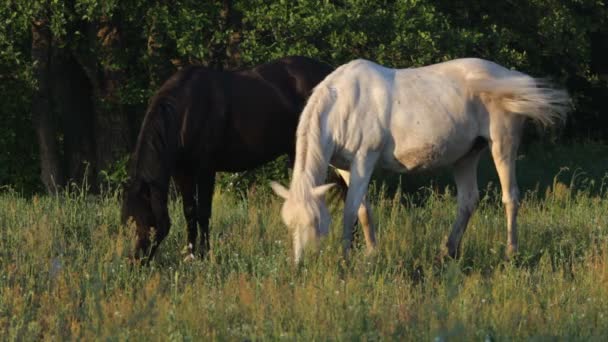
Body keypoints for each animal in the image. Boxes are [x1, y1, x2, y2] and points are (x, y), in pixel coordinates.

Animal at [120, 56, 376, 262]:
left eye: (146, 220)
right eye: (127, 220)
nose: (134, 261)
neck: (187, 110)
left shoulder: (206, 168)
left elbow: (203, 212)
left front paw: (205, 255)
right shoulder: (182, 170)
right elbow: (189, 211)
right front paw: (190, 255)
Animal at [270, 57, 568, 264]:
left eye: (314, 223)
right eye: (289, 224)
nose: (300, 265)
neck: (344, 103)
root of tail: (513, 78)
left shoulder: (365, 159)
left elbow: (351, 211)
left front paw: (347, 259)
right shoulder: (345, 168)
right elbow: (363, 211)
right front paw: (371, 253)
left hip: (502, 143)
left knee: (510, 198)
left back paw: (510, 253)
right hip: (466, 156)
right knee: (468, 200)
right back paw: (447, 252)